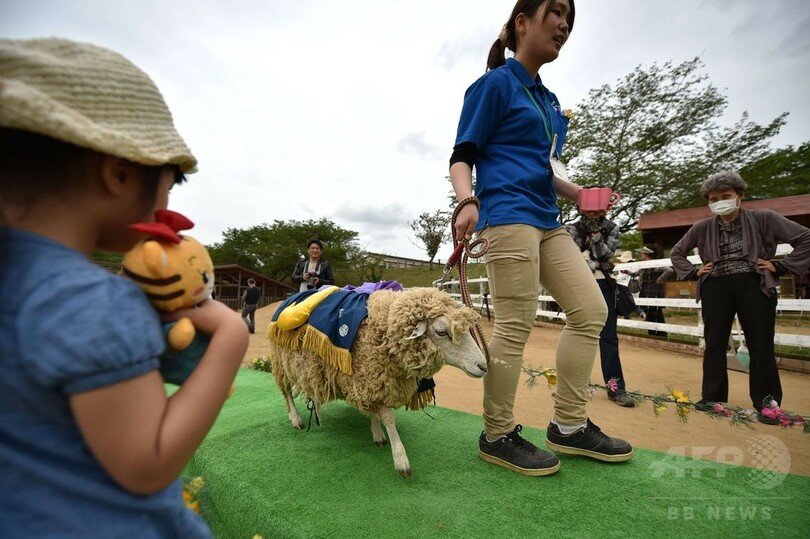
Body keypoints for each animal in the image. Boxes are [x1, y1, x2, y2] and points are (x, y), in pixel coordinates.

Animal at [267, 287, 487, 477]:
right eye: (442, 332)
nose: (483, 366)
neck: (385, 333)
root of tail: (289, 298)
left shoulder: (374, 380)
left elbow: (376, 410)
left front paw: (377, 433)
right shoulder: (370, 375)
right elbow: (388, 418)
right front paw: (400, 459)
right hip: (281, 363)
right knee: (286, 392)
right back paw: (295, 419)